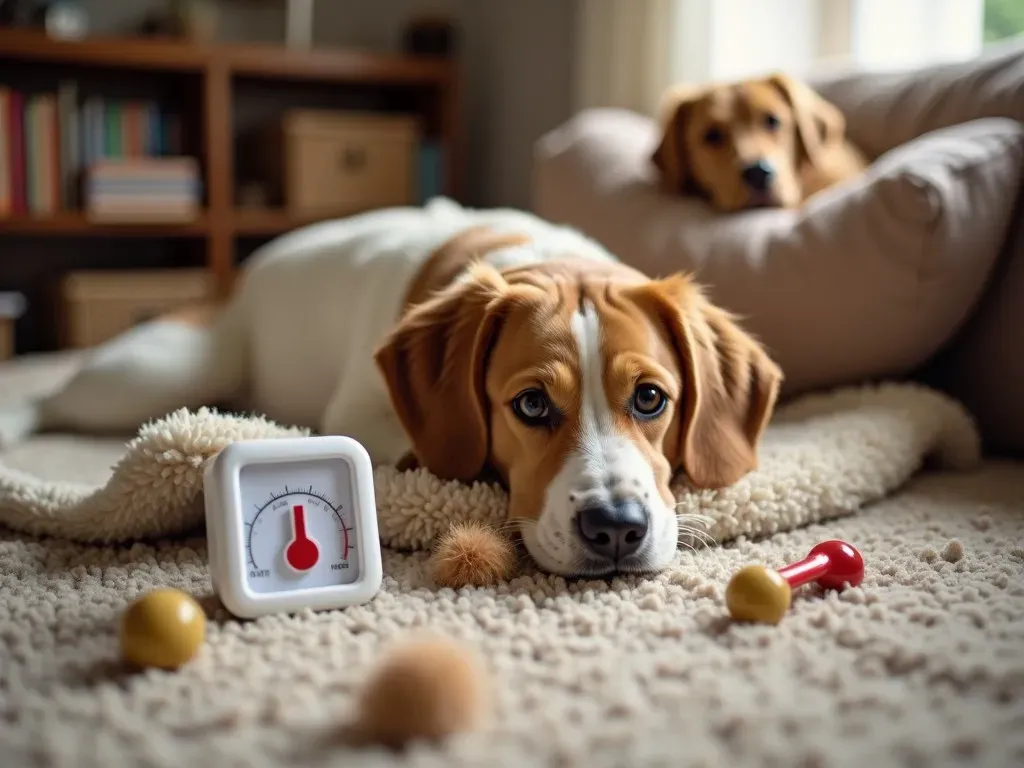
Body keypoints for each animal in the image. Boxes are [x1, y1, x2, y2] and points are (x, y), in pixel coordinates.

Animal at [2, 201, 782, 581]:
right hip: (158, 372)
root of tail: (244, 277)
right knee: (53, 398)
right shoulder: (361, 417)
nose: (616, 527)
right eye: (531, 404)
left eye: (651, 399)